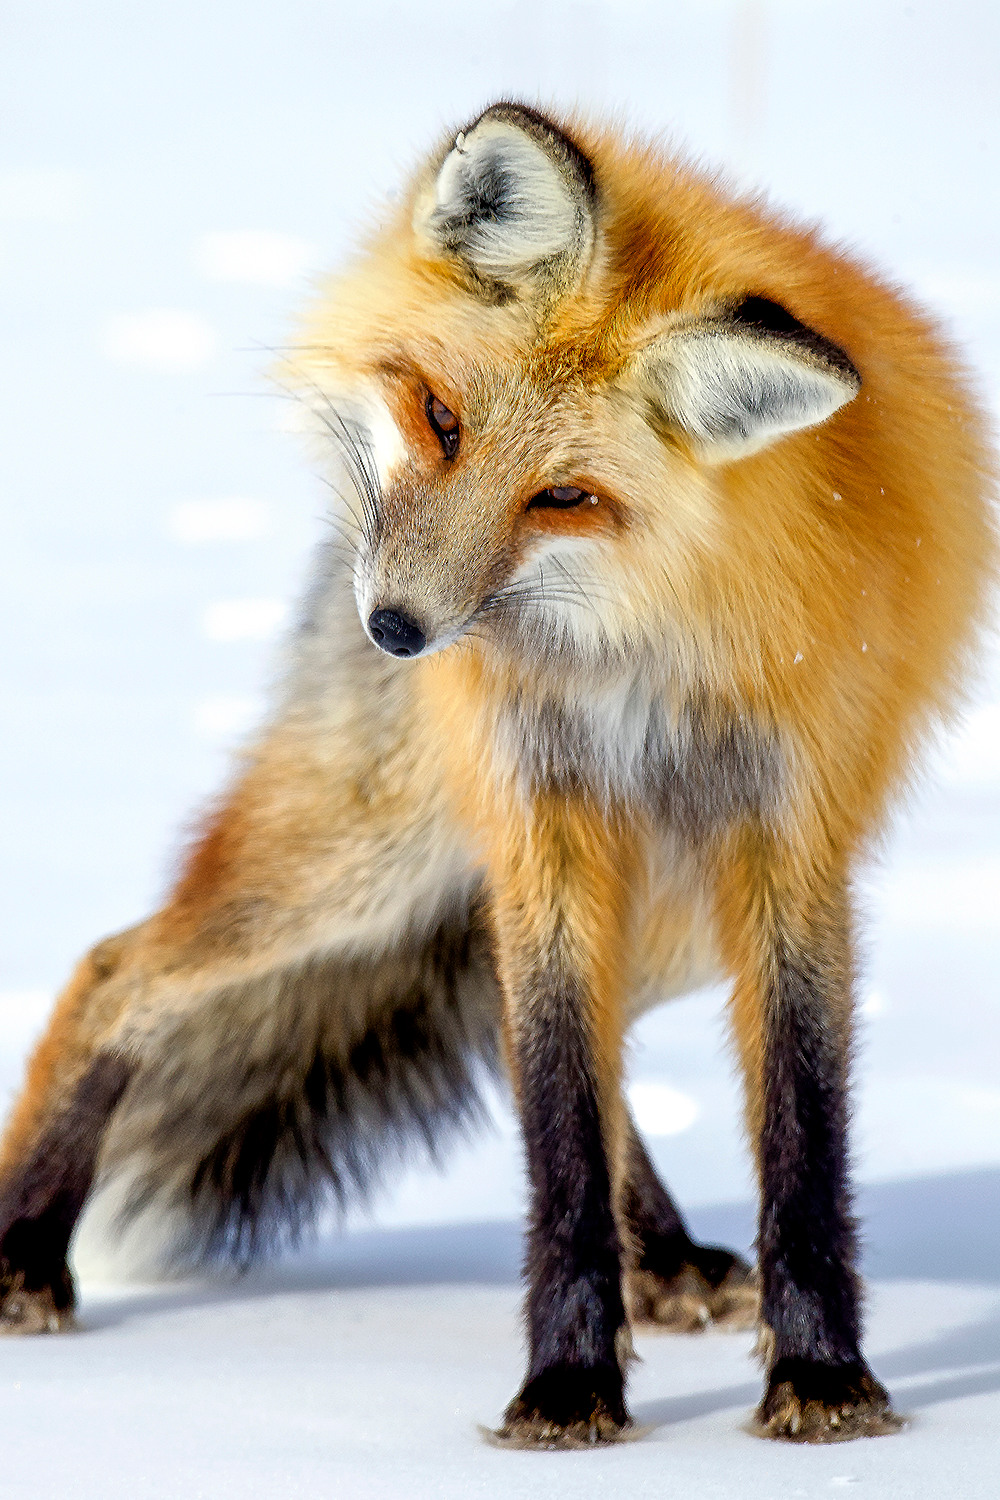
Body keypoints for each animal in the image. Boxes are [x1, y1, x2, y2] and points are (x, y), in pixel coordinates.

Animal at [0, 101, 994, 1449]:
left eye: (563, 497)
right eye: (439, 417)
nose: (398, 631)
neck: (636, 650)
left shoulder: (787, 843)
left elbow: (797, 1125)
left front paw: (821, 1375)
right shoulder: (541, 823)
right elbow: (558, 1109)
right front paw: (570, 1382)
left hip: (672, 909)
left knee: (538, 1010)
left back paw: (667, 1257)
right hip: (371, 859)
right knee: (117, 969)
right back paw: (25, 1249)